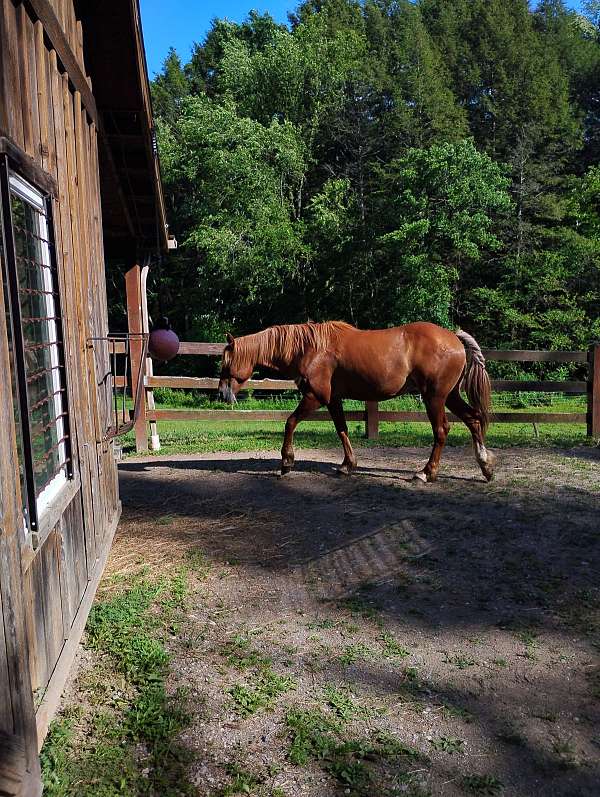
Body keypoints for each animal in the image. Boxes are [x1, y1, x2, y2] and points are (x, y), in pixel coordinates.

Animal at [218, 321, 495, 482]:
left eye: (226, 363)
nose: (221, 393)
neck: (310, 348)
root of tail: (454, 338)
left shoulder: (315, 397)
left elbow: (290, 422)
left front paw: (287, 462)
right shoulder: (333, 400)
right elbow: (342, 430)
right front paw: (347, 465)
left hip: (434, 397)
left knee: (442, 430)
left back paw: (426, 473)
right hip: (450, 396)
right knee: (473, 420)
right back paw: (486, 467)